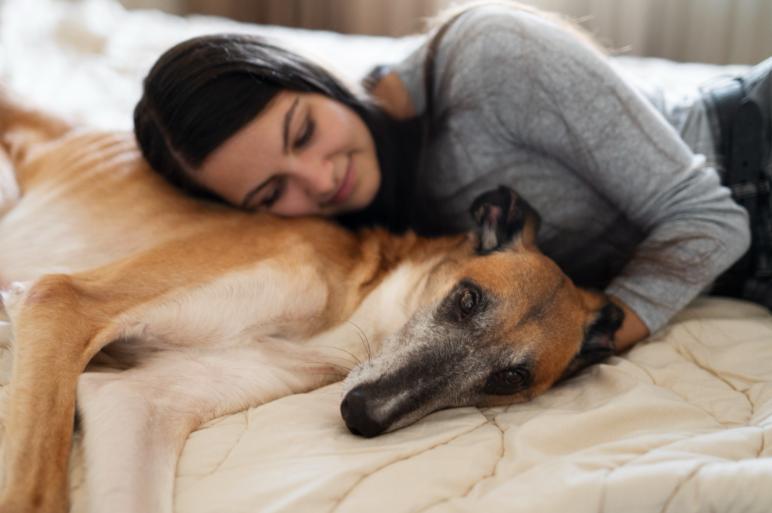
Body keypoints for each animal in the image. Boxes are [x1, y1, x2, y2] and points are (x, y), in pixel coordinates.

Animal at [0, 90, 620, 510]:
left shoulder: (134, 402)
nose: (362, 415)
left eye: (509, 380)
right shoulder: (65, 302)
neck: (343, 315)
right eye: (466, 300)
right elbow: (35, 489)